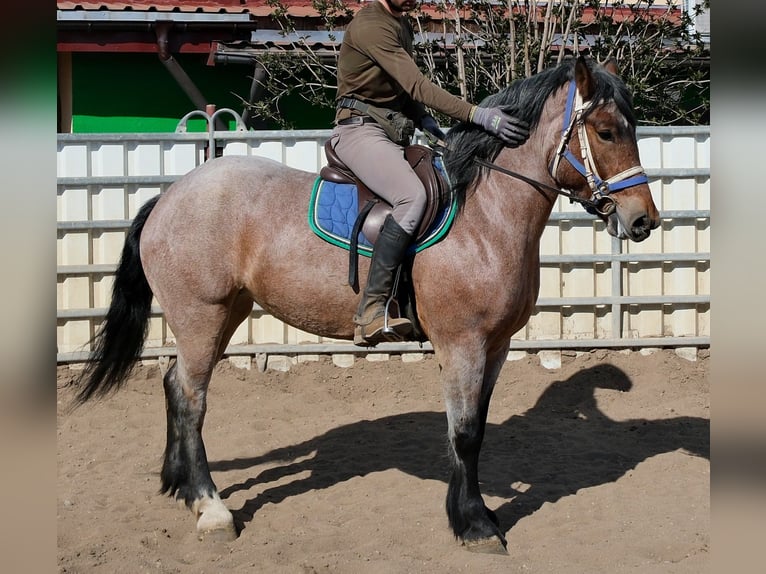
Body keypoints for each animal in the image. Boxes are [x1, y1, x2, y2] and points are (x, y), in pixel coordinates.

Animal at [71, 56, 660, 554]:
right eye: (606, 132)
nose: (642, 220)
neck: (485, 213)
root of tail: (170, 195)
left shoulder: (494, 347)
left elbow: (475, 431)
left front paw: (476, 513)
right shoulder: (463, 345)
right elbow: (464, 432)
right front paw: (473, 525)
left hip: (223, 314)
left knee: (175, 386)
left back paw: (178, 485)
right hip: (201, 314)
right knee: (192, 398)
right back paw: (211, 508)